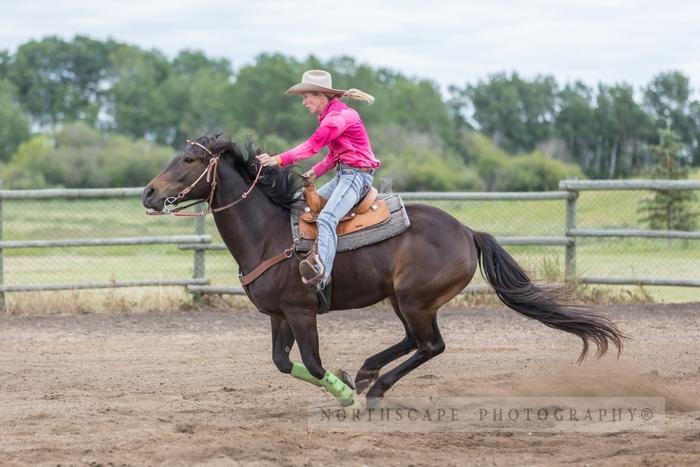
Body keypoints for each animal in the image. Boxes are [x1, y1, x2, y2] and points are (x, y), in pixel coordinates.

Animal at [142, 133, 624, 408]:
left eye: (188, 161)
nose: (148, 193)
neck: (270, 233)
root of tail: (467, 231)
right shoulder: (279, 315)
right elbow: (282, 362)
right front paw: (344, 382)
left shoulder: (301, 312)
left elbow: (313, 362)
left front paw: (343, 395)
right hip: (401, 299)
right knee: (415, 341)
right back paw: (367, 373)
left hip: (415, 299)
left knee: (431, 345)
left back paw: (372, 389)